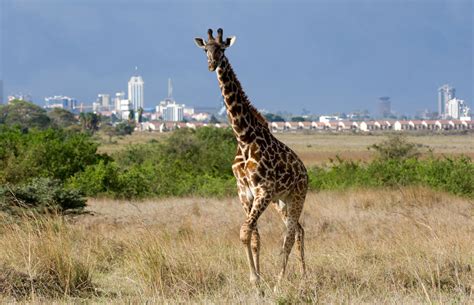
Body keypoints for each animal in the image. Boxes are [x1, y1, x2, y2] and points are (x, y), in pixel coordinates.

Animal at [194, 28, 310, 288]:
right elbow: (253, 234)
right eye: (205, 49)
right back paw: (303, 276)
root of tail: (305, 172)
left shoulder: (263, 190)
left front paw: (257, 280)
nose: (211, 64)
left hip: (297, 196)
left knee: (290, 234)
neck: (244, 138)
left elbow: (245, 231)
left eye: (222, 49)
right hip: (281, 201)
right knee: (298, 230)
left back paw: (280, 283)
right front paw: (257, 282)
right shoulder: (244, 192)